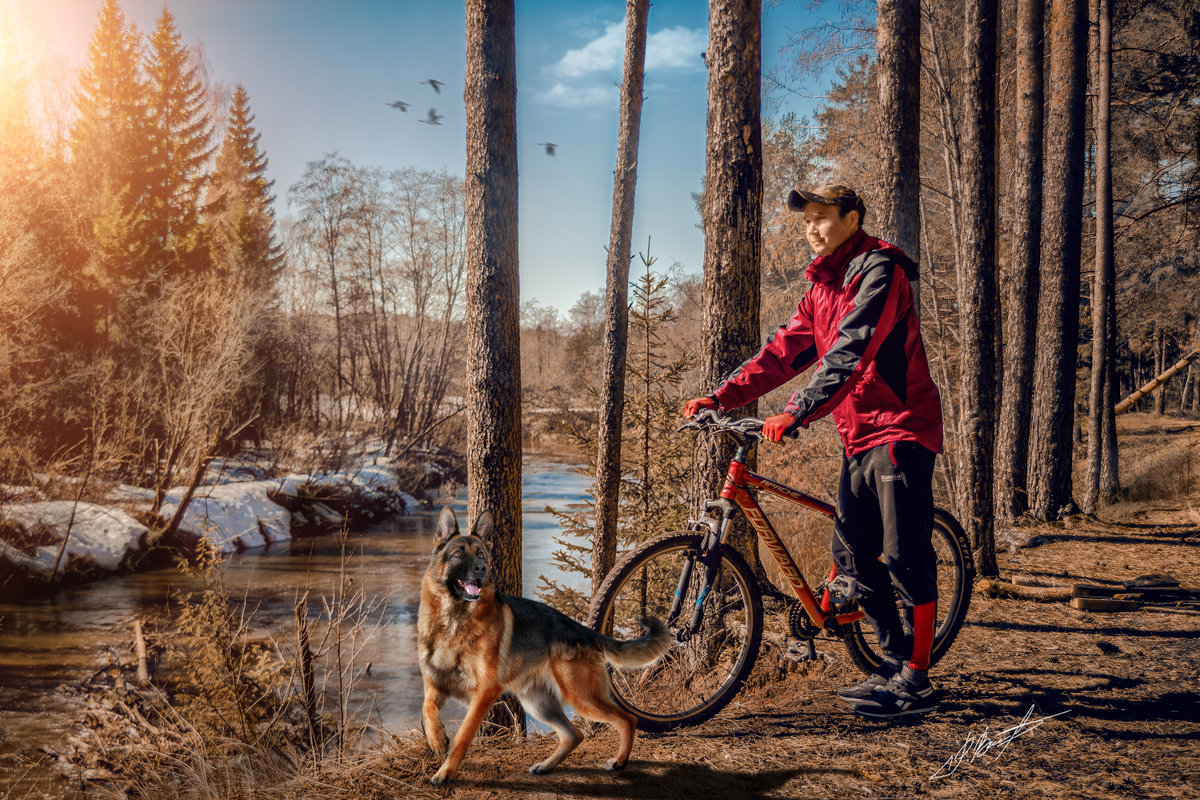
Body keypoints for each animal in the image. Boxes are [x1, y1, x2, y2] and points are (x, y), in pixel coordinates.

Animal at [417, 510, 672, 786]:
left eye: (482, 555)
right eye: (458, 554)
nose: (481, 569)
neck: (453, 621)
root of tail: (585, 631)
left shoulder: (485, 692)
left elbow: (463, 735)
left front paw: (446, 771)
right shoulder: (435, 685)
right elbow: (426, 708)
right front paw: (437, 739)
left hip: (581, 696)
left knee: (627, 719)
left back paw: (620, 761)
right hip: (539, 703)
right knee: (573, 734)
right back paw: (547, 766)